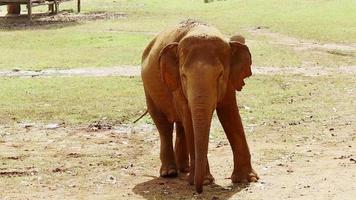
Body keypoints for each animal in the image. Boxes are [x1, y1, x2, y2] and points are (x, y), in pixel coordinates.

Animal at [140, 19, 258, 193]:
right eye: (183, 76)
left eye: (220, 75)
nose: (199, 189)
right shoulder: (176, 83)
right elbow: (189, 117)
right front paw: (207, 181)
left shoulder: (230, 80)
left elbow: (230, 113)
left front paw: (247, 179)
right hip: (148, 88)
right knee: (163, 125)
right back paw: (170, 172)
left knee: (180, 125)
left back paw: (185, 169)